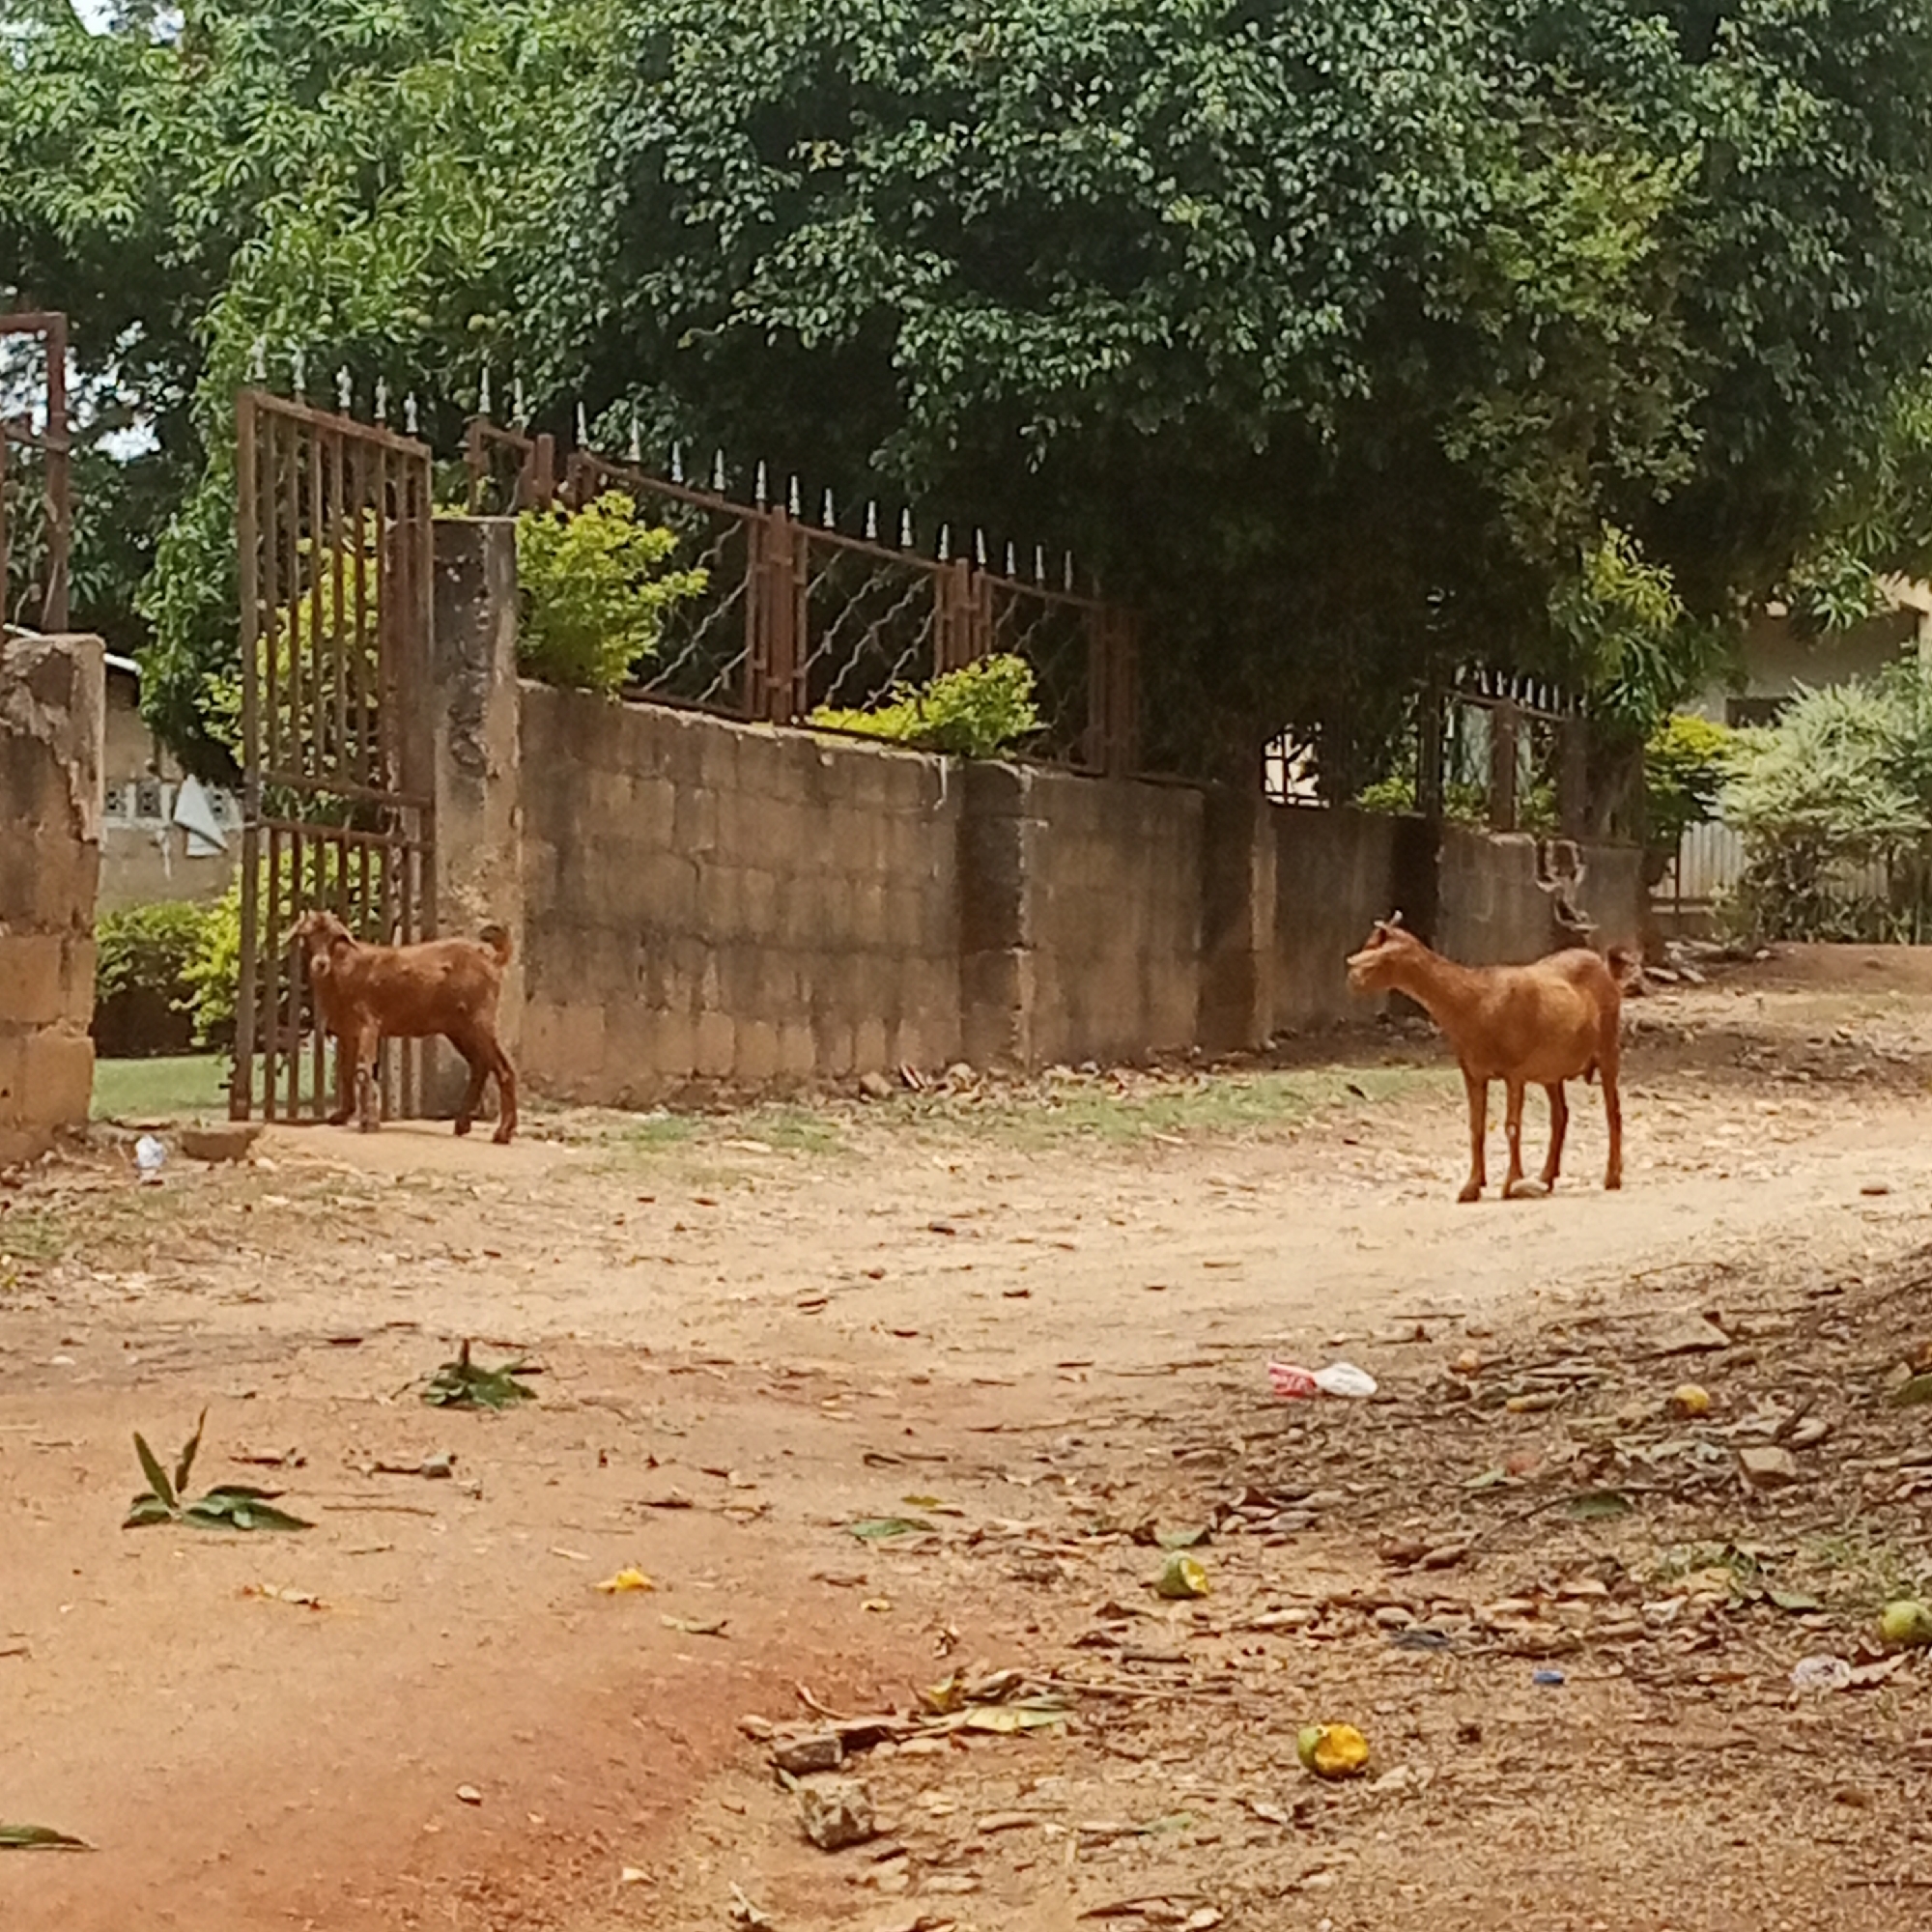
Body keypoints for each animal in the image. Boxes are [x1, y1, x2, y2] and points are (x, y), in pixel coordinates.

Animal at [287, 910, 518, 1144]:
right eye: (307, 935)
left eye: (334, 937)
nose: (321, 963)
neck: (343, 971)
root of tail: (492, 960)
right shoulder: (347, 1031)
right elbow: (346, 1070)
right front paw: (342, 1116)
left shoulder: (368, 1023)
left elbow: (363, 1069)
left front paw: (369, 1123)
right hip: (459, 1029)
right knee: (480, 1065)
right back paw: (462, 1124)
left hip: (480, 1021)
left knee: (503, 1069)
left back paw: (502, 1132)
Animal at [1345, 912, 1634, 1202]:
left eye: (1378, 954)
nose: (1352, 979)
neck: (1474, 1003)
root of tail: (1605, 968)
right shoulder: (1473, 1072)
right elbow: (1476, 1126)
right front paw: (1471, 1186)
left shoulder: (1515, 1071)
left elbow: (1511, 1126)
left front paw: (1510, 1183)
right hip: (1552, 1071)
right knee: (1560, 1115)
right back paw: (1545, 1178)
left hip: (1608, 1048)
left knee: (1613, 1113)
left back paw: (1612, 1178)